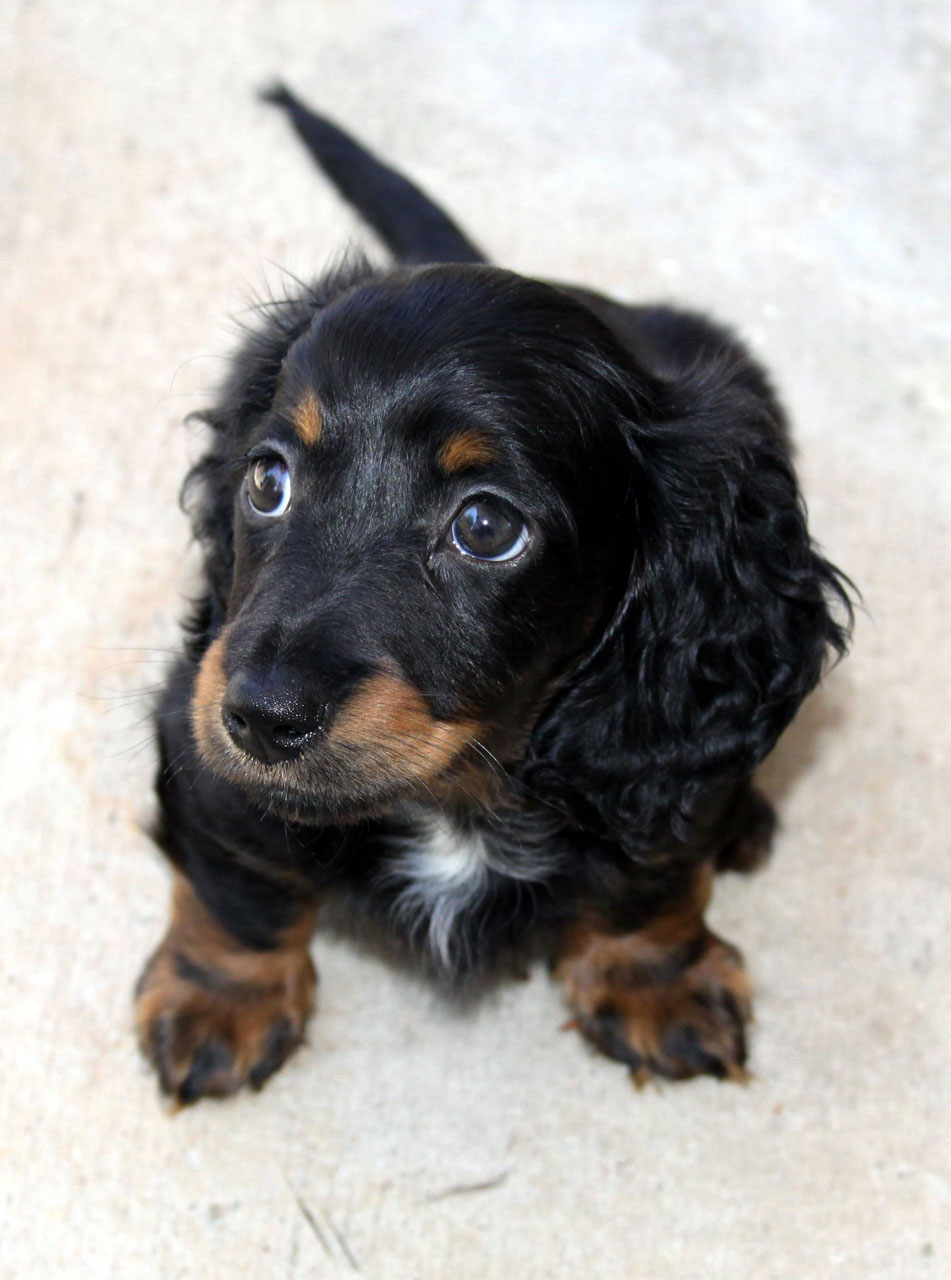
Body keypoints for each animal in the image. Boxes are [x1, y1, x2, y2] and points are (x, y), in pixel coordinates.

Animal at [135, 90, 855, 1105]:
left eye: (485, 526)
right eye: (267, 480)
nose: (260, 719)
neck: (462, 790)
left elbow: (651, 874)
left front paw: (654, 980)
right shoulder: (197, 732)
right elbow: (239, 883)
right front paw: (221, 999)